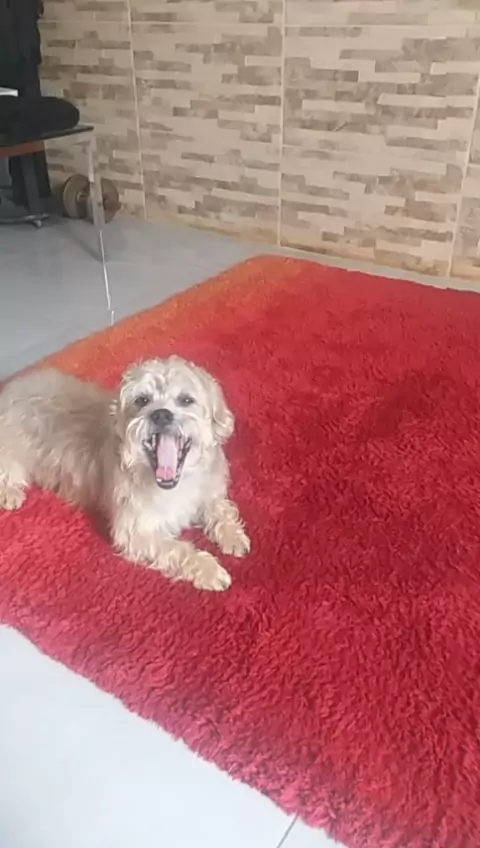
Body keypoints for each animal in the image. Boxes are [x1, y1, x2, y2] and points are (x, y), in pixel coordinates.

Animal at [0, 357, 250, 591]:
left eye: (186, 400)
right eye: (142, 400)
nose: (161, 414)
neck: (175, 484)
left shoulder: (208, 494)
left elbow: (220, 509)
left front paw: (233, 535)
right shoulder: (136, 533)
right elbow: (178, 550)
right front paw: (208, 569)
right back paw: (10, 494)